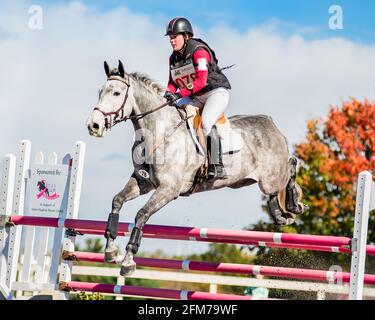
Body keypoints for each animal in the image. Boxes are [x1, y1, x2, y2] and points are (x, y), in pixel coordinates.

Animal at [86, 61, 308, 276]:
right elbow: (117, 200)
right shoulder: (143, 182)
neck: (159, 131)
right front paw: (110, 250)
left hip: (271, 177)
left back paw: (295, 205)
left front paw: (128, 261)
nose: (93, 126)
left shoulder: (169, 189)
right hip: (251, 181)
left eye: (116, 93)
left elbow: (141, 215)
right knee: (276, 189)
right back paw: (280, 215)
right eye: (100, 91)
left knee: (291, 165)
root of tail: (271, 123)